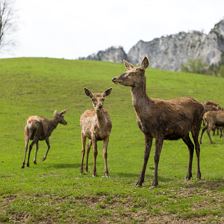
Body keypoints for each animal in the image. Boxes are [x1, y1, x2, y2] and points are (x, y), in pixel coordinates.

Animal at [112, 57, 205, 186]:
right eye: (127, 70)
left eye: (135, 72)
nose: (115, 78)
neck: (146, 114)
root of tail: (201, 105)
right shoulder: (147, 134)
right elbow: (145, 156)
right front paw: (139, 182)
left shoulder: (160, 132)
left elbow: (156, 157)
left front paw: (154, 183)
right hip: (183, 132)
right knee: (190, 147)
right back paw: (188, 175)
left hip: (197, 125)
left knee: (197, 147)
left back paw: (199, 175)